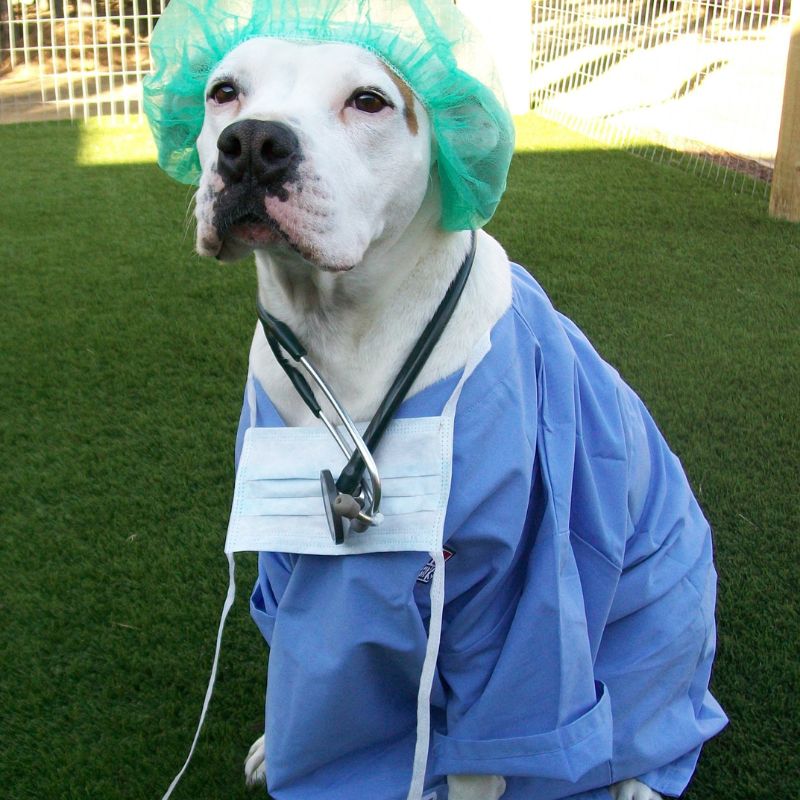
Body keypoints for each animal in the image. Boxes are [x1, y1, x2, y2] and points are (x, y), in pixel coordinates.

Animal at [188, 34, 724, 796]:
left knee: (655, 718)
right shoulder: (290, 555)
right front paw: (277, 745)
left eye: (369, 100)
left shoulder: (516, 598)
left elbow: (495, 735)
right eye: (224, 91)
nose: (254, 144)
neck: (344, 336)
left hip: (665, 614)